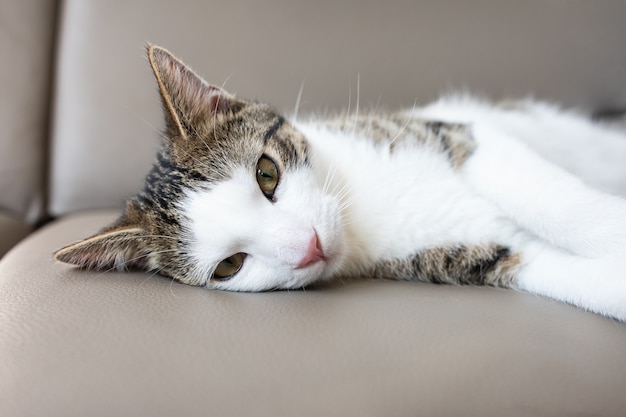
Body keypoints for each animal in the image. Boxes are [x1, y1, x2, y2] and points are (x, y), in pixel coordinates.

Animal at [53, 44, 624, 318]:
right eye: (228, 267)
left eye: (266, 173)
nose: (308, 246)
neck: (362, 213)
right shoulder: (477, 255)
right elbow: (567, 273)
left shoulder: (463, 133)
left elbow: (560, 205)